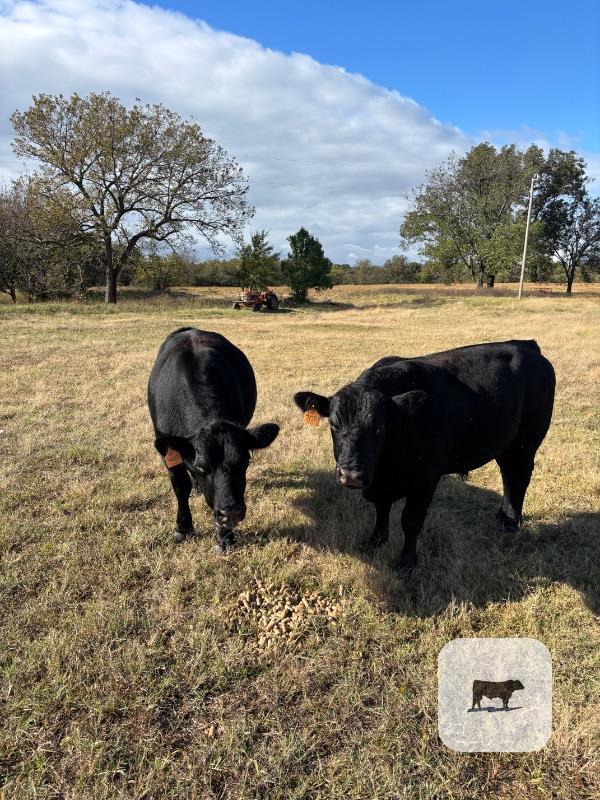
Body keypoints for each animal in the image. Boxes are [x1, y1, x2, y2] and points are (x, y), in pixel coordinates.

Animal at [148, 328, 279, 551]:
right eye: (202, 468)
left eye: (245, 462)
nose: (231, 512)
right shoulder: (167, 450)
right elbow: (180, 486)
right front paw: (183, 528)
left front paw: (225, 537)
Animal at [294, 340, 555, 572]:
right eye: (334, 425)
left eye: (380, 428)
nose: (351, 474)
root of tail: (526, 345)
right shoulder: (381, 485)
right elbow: (381, 510)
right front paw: (375, 541)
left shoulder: (425, 478)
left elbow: (411, 520)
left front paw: (407, 562)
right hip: (507, 445)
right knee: (509, 476)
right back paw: (502, 517)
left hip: (526, 442)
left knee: (518, 477)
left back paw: (510, 522)